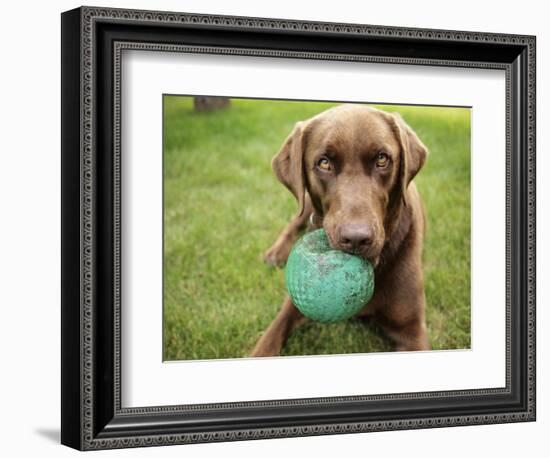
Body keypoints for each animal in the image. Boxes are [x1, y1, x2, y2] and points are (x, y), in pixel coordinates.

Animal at [253, 104, 432, 358]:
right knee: (295, 220)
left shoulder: (412, 329)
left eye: (382, 159)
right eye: (324, 163)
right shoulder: (295, 303)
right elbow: (270, 337)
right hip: (305, 204)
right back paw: (275, 254)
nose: (356, 239)